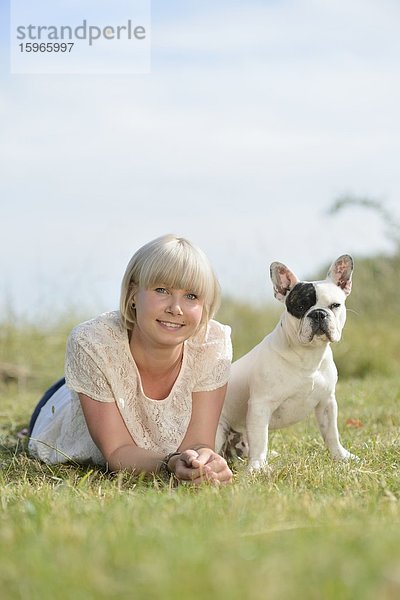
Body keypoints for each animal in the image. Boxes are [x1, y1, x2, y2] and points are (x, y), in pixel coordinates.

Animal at [217, 253, 358, 468]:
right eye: (299, 306)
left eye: (335, 305)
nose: (318, 313)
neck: (308, 355)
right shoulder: (260, 405)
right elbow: (260, 439)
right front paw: (258, 467)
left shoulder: (327, 402)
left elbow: (331, 433)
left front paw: (341, 456)